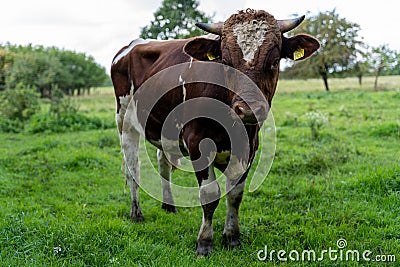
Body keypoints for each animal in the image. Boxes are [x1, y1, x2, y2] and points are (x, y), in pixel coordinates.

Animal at [110, 8, 318, 258]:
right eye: (226, 62)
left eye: (274, 61)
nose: (248, 109)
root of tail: (131, 46)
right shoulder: (197, 143)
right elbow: (209, 195)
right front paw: (205, 242)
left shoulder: (248, 147)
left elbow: (235, 194)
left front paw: (232, 237)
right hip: (125, 122)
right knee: (133, 168)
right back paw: (136, 213)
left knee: (163, 162)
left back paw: (169, 205)